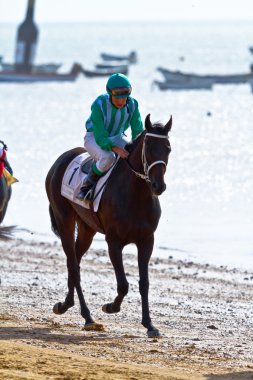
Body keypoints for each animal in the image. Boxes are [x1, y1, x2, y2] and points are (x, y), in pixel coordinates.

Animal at [45, 113, 172, 338]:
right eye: (148, 147)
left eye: (168, 148)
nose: (159, 186)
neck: (135, 195)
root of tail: (60, 160)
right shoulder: (114, 241)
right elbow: (123, 285)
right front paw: (111, 307)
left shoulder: (146, 240)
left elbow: (144, 283)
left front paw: (149, 324)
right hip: (64, 220)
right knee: (73, 266)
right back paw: (87, 316)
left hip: (86, 229)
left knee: (74, 261)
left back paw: (65, 304)